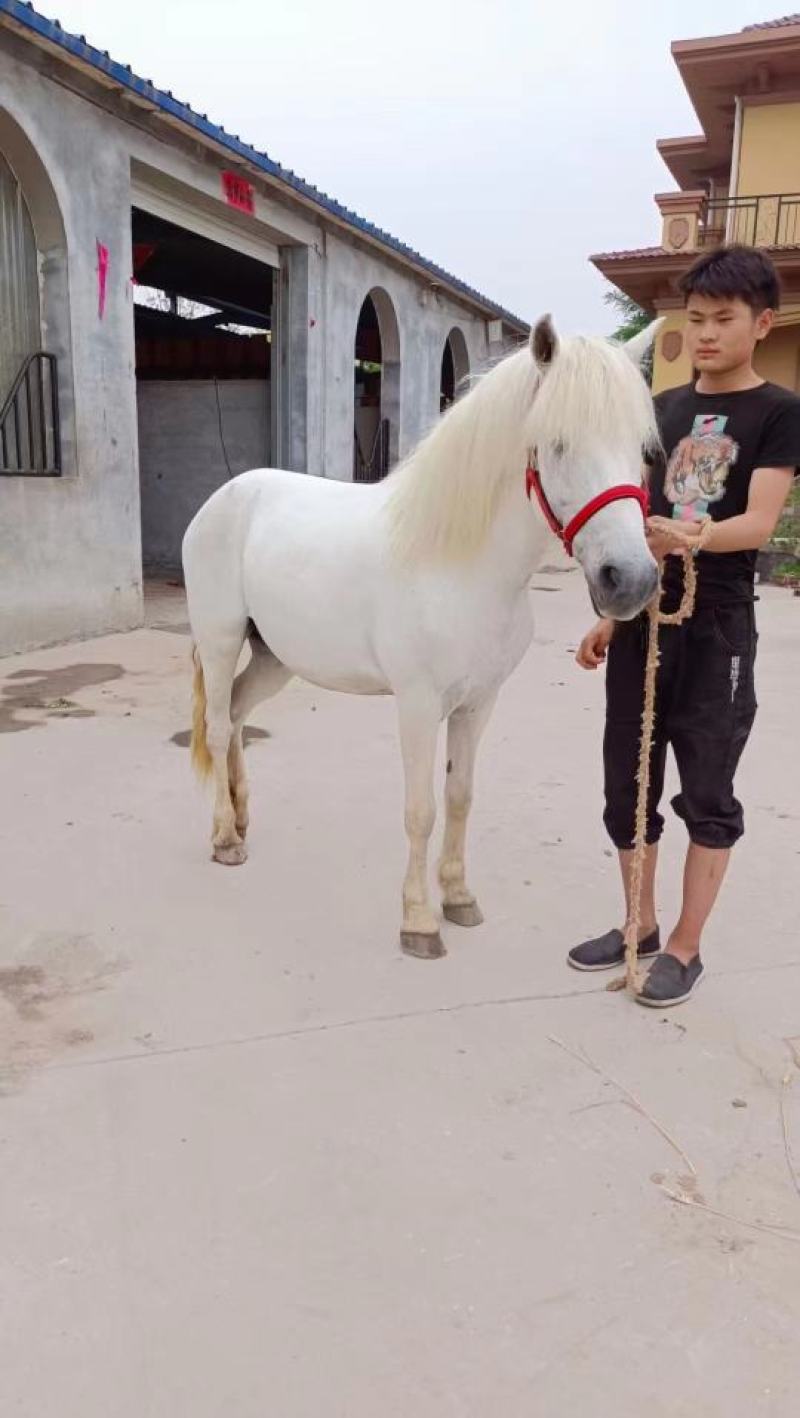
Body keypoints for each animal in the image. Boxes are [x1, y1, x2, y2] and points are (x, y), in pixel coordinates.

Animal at [183, 315, 660, 959]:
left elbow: (459, 797)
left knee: (235, 716)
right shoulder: (416, 704)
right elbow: (421, 810)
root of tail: (223, 499)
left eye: (642, 448)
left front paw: (457, 898)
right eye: (558, 443)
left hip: (274, 657)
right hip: (221, 639)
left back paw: (240, 819)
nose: (629, 581)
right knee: (215, 725)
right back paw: (225, 838)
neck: (460, 565)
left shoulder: (478, 704)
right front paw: (418, 922)